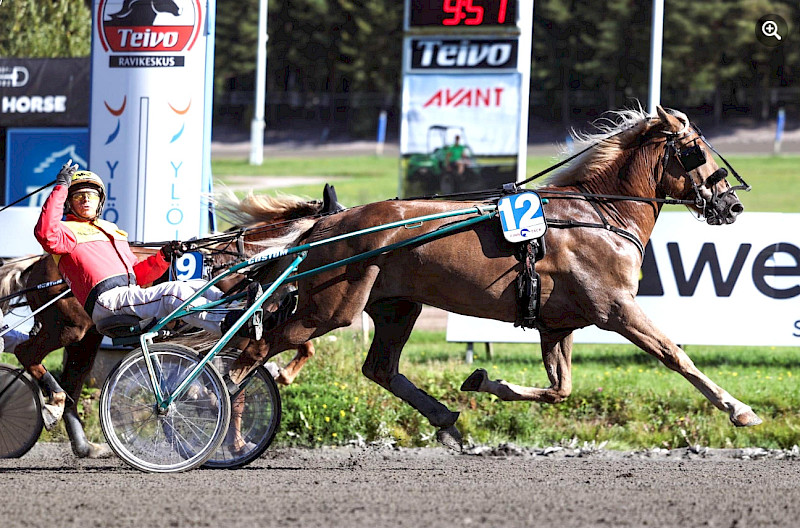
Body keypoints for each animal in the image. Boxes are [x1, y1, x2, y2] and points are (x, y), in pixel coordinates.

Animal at [227, 107, 764, 450]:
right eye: (696, 151)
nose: (732, 204)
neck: (599, 214)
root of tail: (329, 222)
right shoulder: (616, 307)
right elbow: (676, 355)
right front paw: (738, 409)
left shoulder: (557, 324)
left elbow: (560, 390)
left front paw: (485, 379)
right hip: (329, 307)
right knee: (252, 351)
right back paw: (226, 426)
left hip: (396, 306)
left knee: (378, 368)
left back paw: (444, 418)